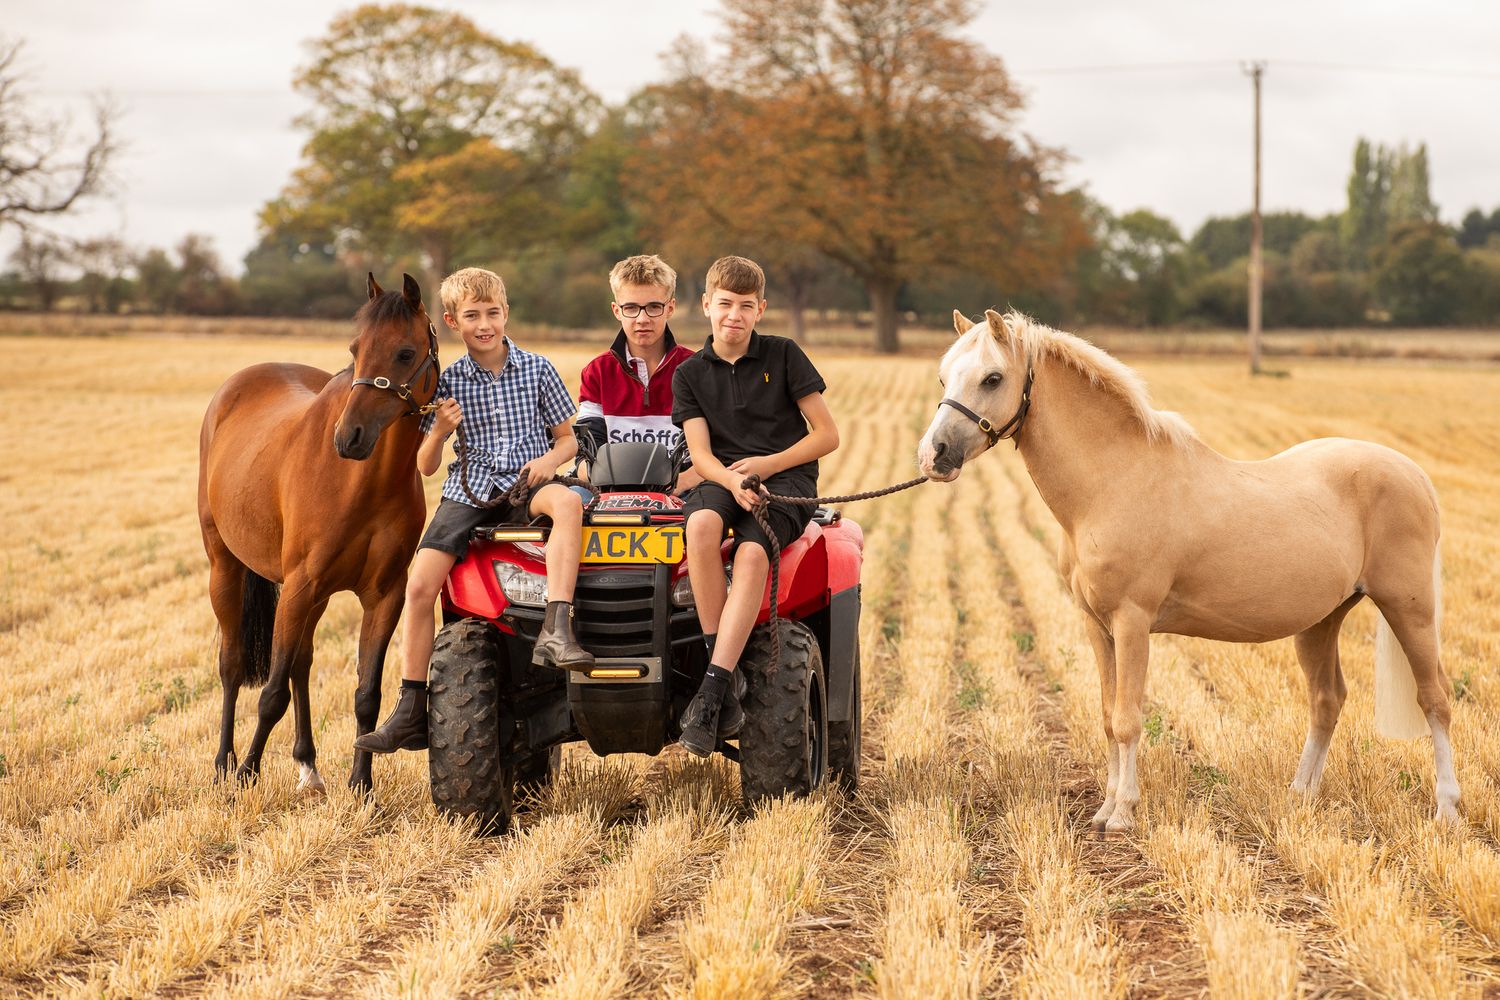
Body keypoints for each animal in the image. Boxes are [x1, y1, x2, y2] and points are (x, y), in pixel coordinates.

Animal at [198, 273, 438, 794]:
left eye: (405, 353)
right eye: (355, 348)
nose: (349, 437)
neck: (361, 482)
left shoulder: (383, 596)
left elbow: (366, 693)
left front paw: (361, 785)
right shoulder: (298, 586)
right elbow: (270, 693)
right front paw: (248, 772)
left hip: (315, 596)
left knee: (301, 665)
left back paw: (308, 765)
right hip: (226, 567)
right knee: (232, 664)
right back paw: (225, 763)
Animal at [917, 309, 1458, 833]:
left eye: (992, 378)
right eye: (944, 375)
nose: (933, 455)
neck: (1114, 482)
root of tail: (1416, 475)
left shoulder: (1132, 622)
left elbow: (1128, 718)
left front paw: (1123, 813)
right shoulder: (1096, 626)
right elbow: (1107, 717)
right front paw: (1104, 809)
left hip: (1410, 610)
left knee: (1435, 699)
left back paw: (1446, 810)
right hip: (1322, 621)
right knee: (1327, 700)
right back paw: (1299, 797)